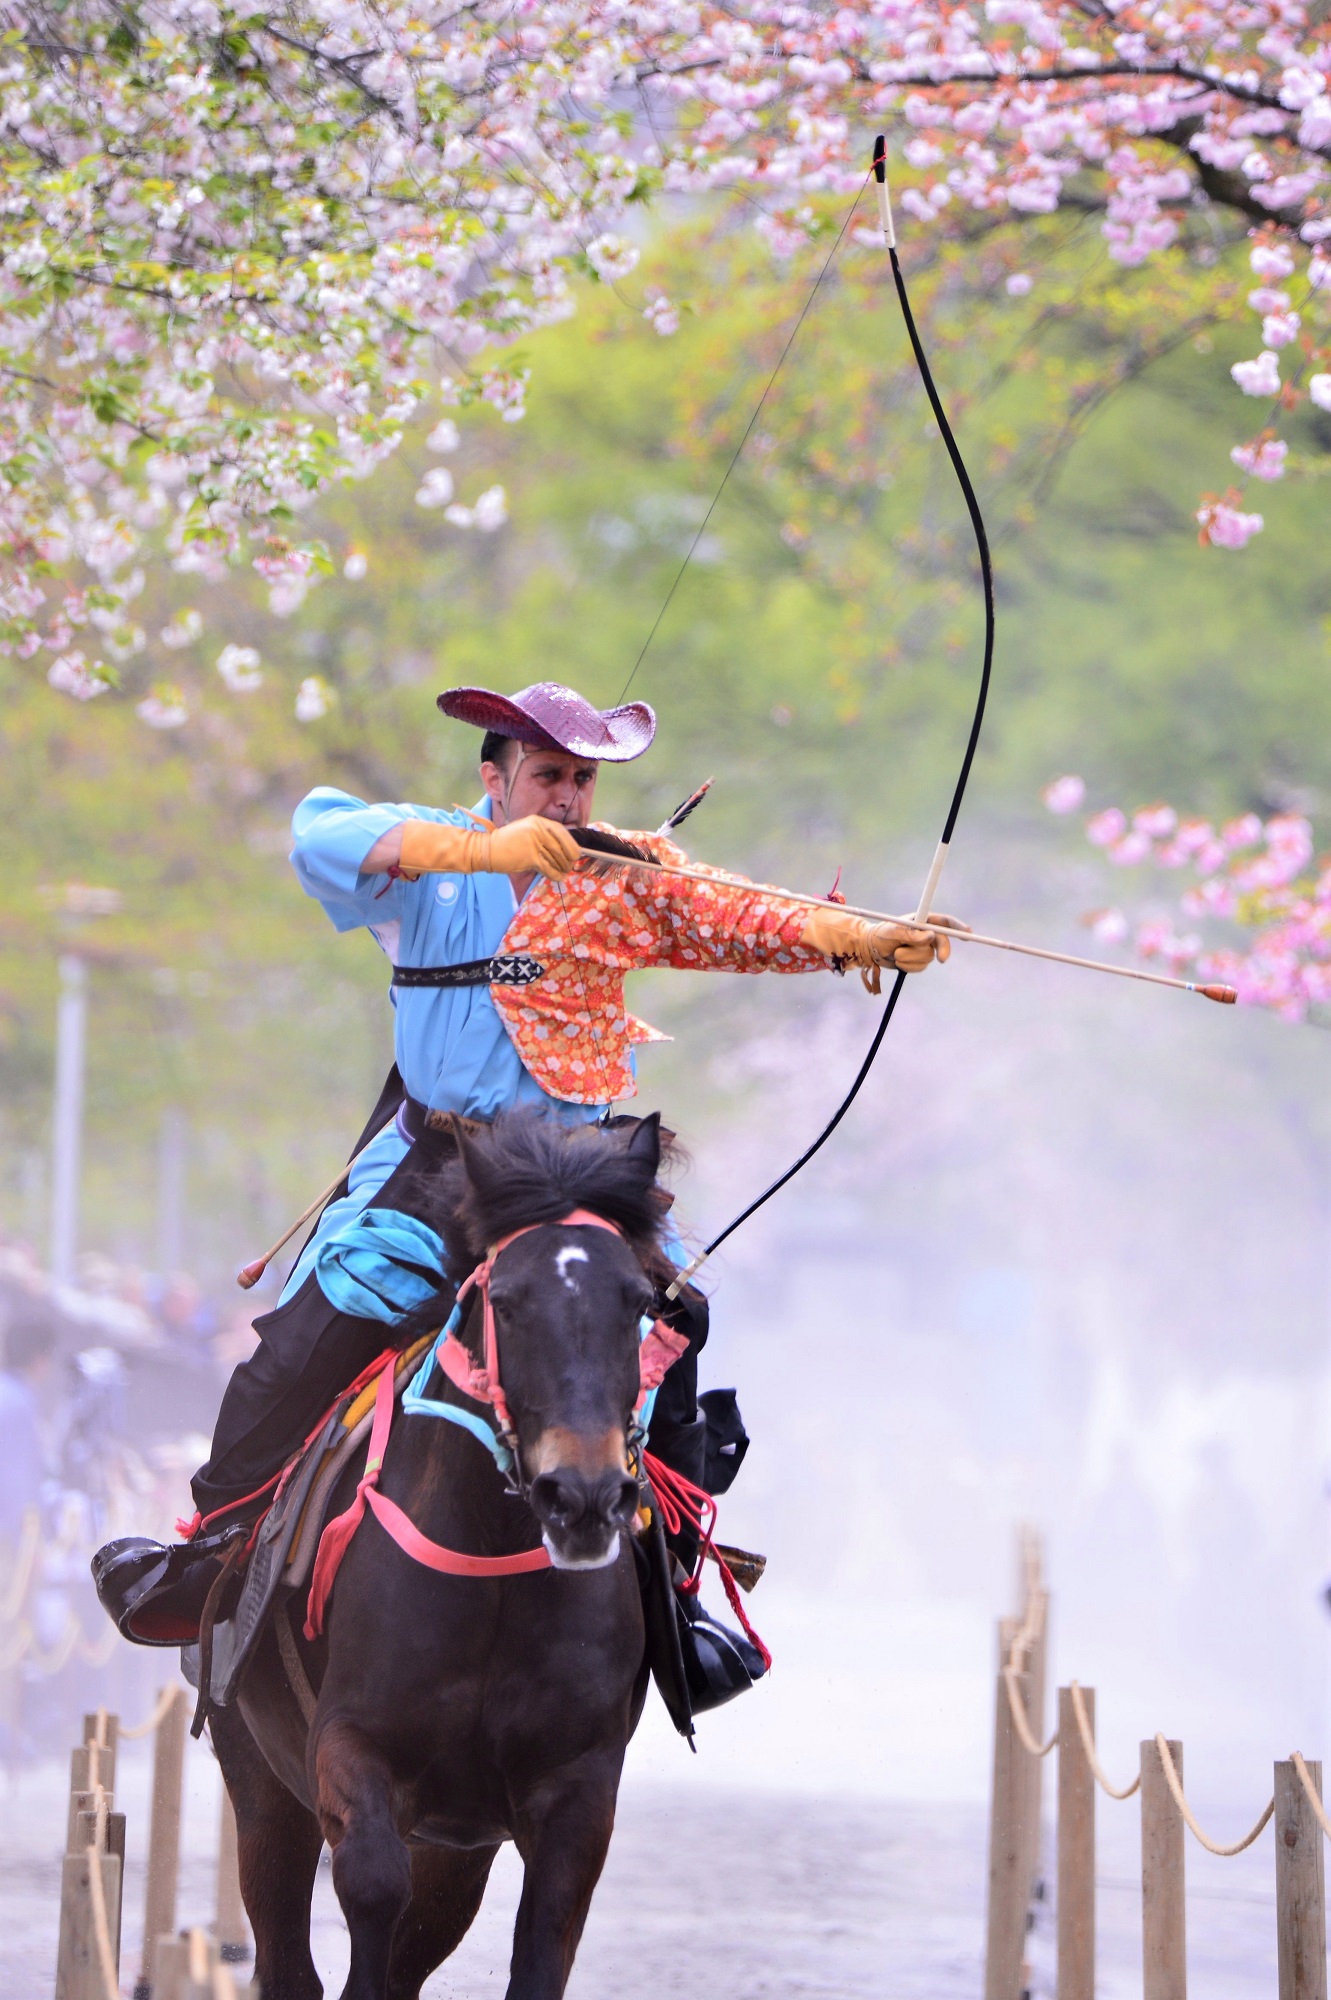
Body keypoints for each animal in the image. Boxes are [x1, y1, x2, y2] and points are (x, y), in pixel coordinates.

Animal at [213, 1120, 679, 1992]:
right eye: (505, 1301)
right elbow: (370, 1887)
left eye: (638, 1302)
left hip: (457, 1846)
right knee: (288, 1954)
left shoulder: (573, 1789)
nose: (583, 1495)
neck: (488, 1561)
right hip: (256, 1774)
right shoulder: (349, 1745)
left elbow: (540, 1941)